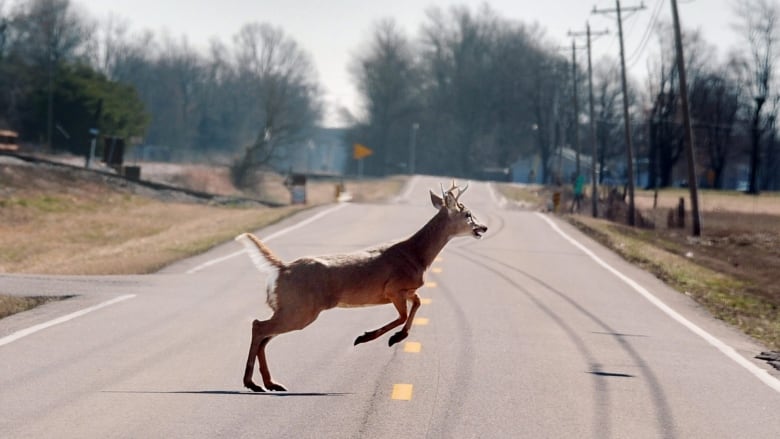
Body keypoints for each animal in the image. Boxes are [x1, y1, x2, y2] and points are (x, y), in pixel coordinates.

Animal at [233, 180, 488, 394]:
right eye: (467, 213)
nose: (483, 227)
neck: (418, 256)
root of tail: (281, 268)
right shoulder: (393, 289)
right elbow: (402, 314)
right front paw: (371, 337)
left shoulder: (407, 290)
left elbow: (416, 304)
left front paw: (398, 336)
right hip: (301, 309)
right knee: (259, 326)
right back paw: (252, 383)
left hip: (290, 307)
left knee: (265, 333)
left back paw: (270, 383)